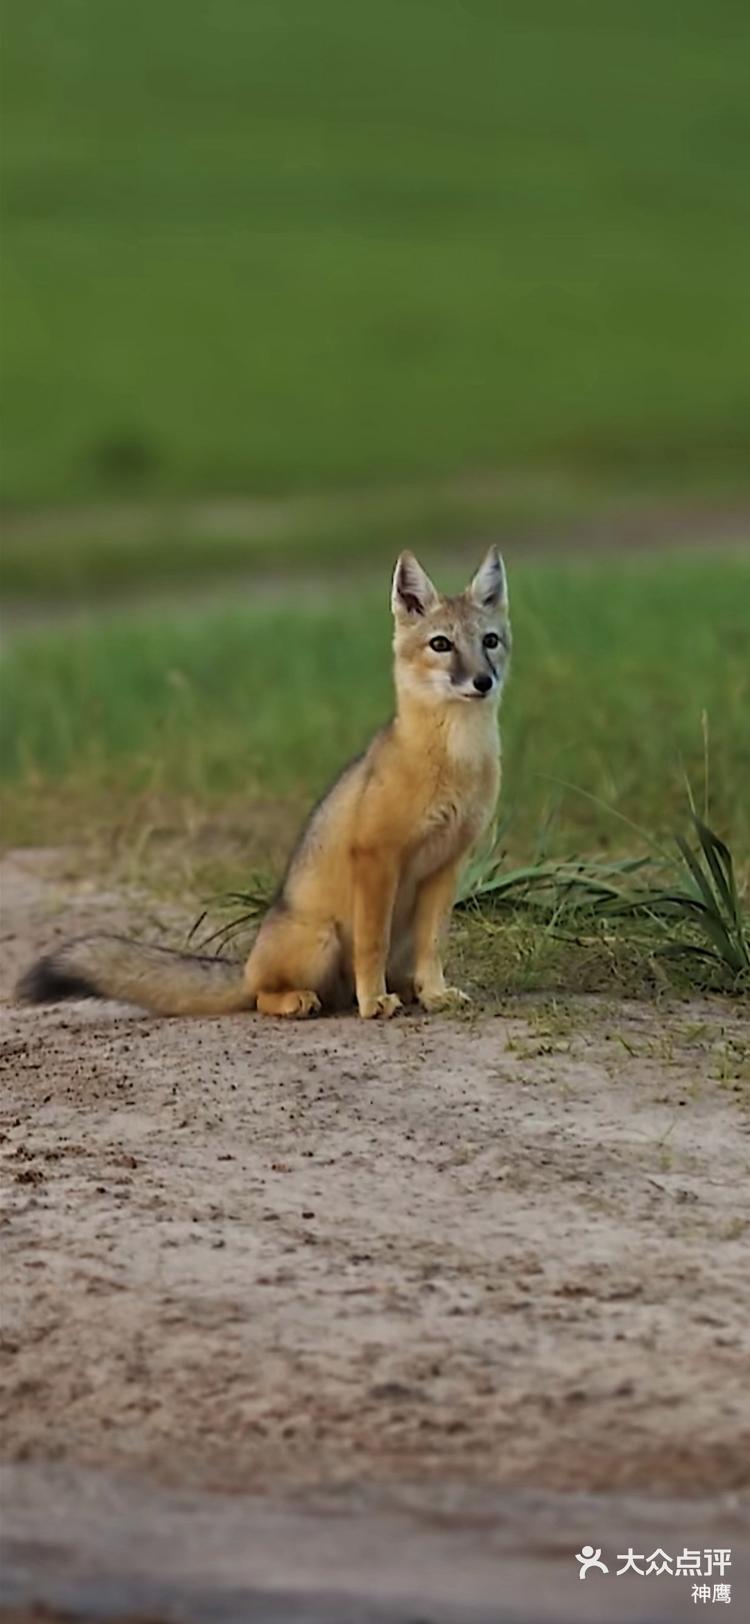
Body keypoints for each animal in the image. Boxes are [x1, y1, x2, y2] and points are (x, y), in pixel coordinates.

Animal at [19, 552, 509, 1019]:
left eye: (490, 641)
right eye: (441, 644)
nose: (483, 681)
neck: (457, 759)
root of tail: (247, 963)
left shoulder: (447, 865)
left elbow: (434, 944)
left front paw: (436, 993)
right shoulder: (376, 857)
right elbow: (373, 944)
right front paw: (374, 1003)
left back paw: (406, 992)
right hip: (322, 941)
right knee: (264, 997)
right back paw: (307, 1000)